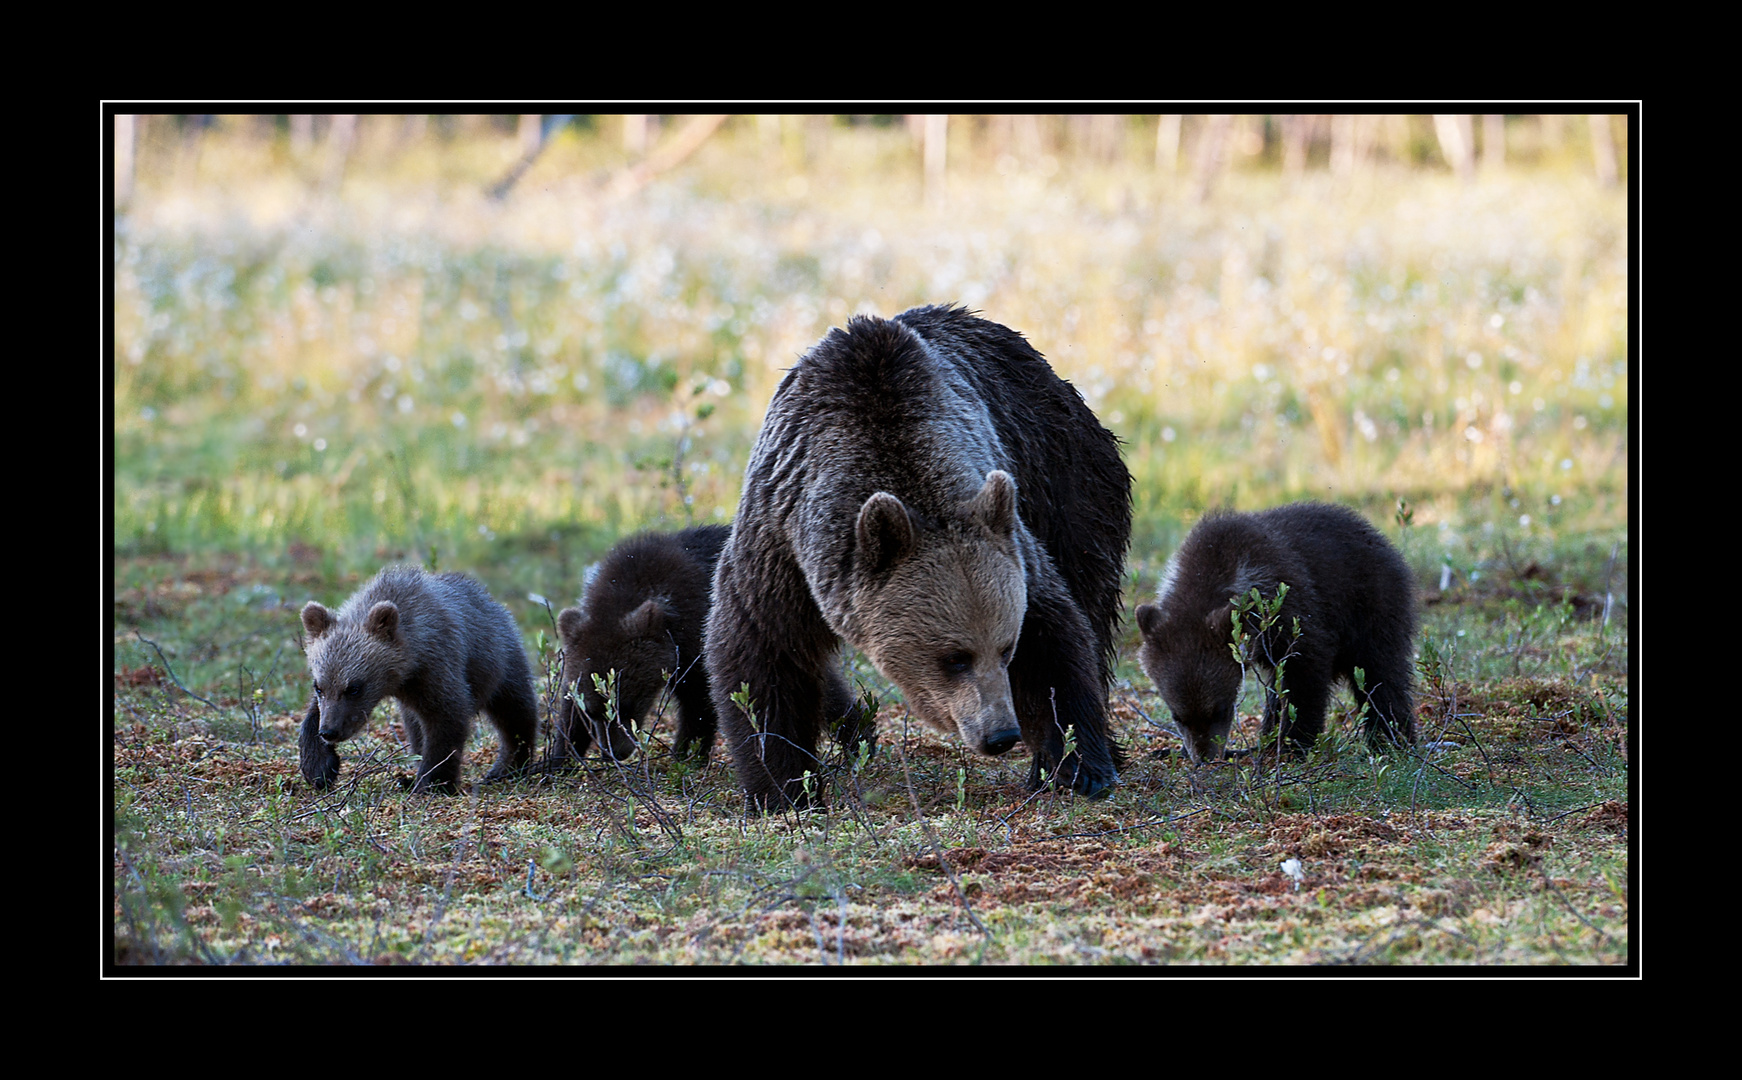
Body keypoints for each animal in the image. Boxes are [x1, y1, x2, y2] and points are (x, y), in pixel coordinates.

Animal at [703, 306, 1128, 808]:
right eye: (955, 657)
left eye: (1006, 647)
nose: (1001, 734)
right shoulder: (780, 540)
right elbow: (764, 652)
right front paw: (783, 787)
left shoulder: (1010, 538)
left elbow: (1054, 634)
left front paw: (1079, 767)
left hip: (1066, 486)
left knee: (1091, 600)